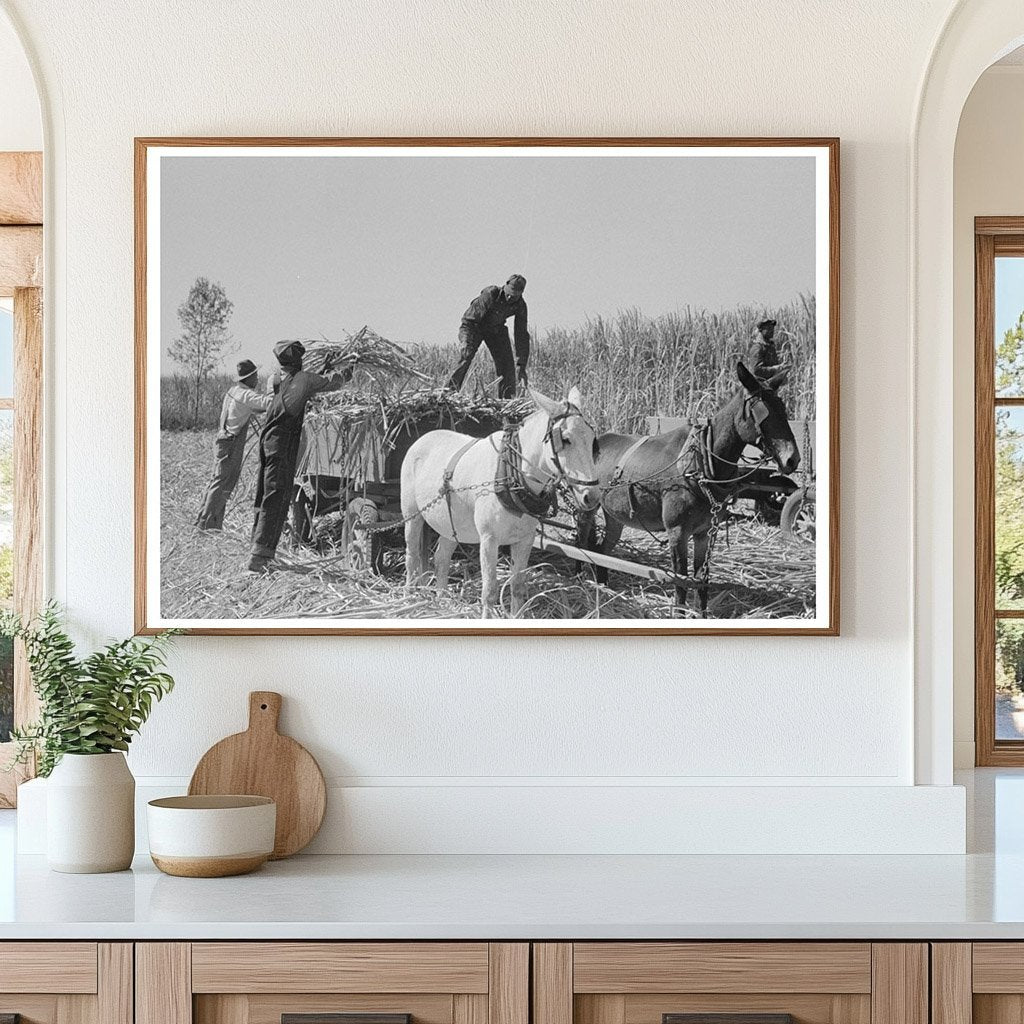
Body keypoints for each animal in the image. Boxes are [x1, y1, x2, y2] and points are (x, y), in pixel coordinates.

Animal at [399, 387, 602, 614]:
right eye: (565, 440)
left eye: (592, 441)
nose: (592, 496)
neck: (511, 477)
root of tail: (424, 437)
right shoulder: (489, 539)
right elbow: (489, 591)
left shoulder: (525, 539)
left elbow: (518, 586)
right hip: (412, 516)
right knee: (412, 555)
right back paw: (408, 597)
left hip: (451, 524)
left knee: (441, 558)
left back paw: (442, 600)